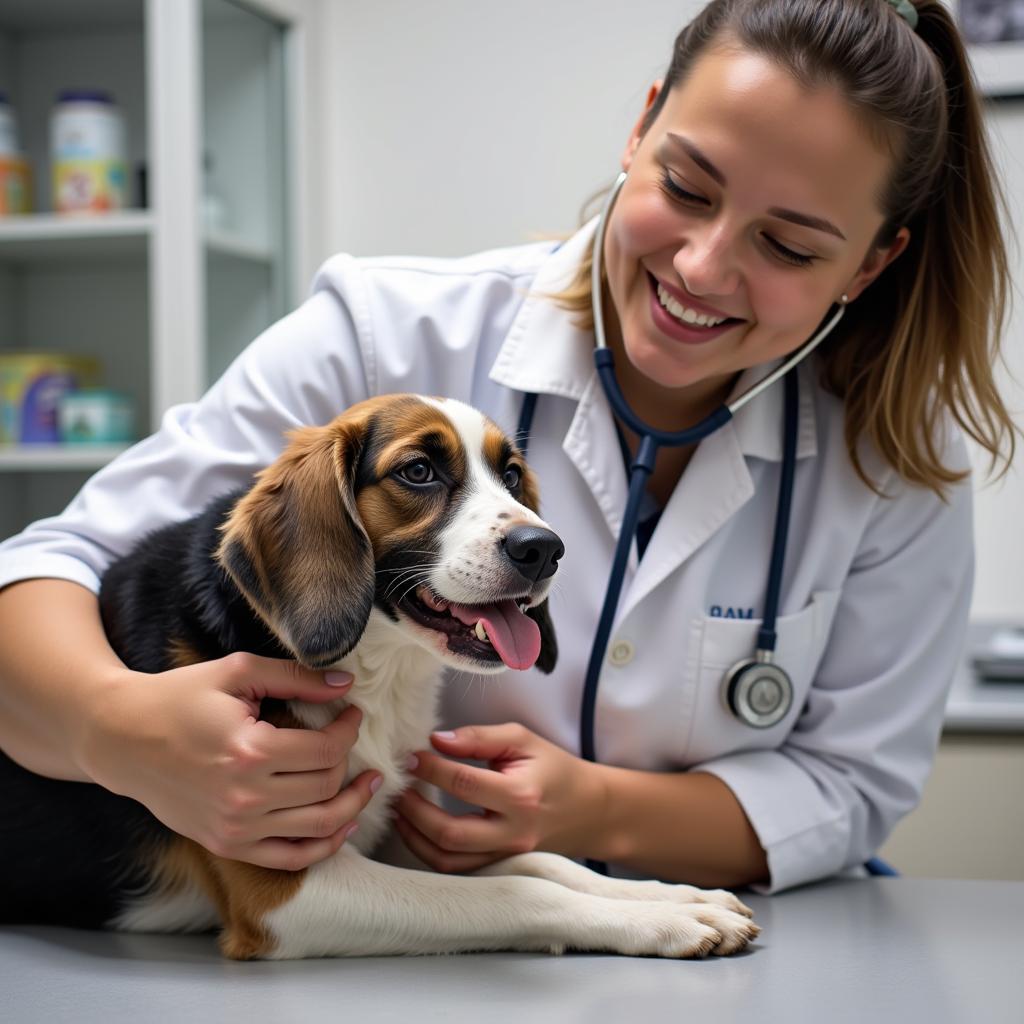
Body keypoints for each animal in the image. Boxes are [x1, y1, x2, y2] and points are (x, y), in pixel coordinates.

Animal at [0, 393, 757, 958]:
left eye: (512, 475)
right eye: (418, 472)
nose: (545, 548)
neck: (376, 669)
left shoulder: (389, 833)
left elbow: (544, 862)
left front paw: (667, 896)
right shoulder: (283, 891)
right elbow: (519, 890)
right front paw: (660, 920)